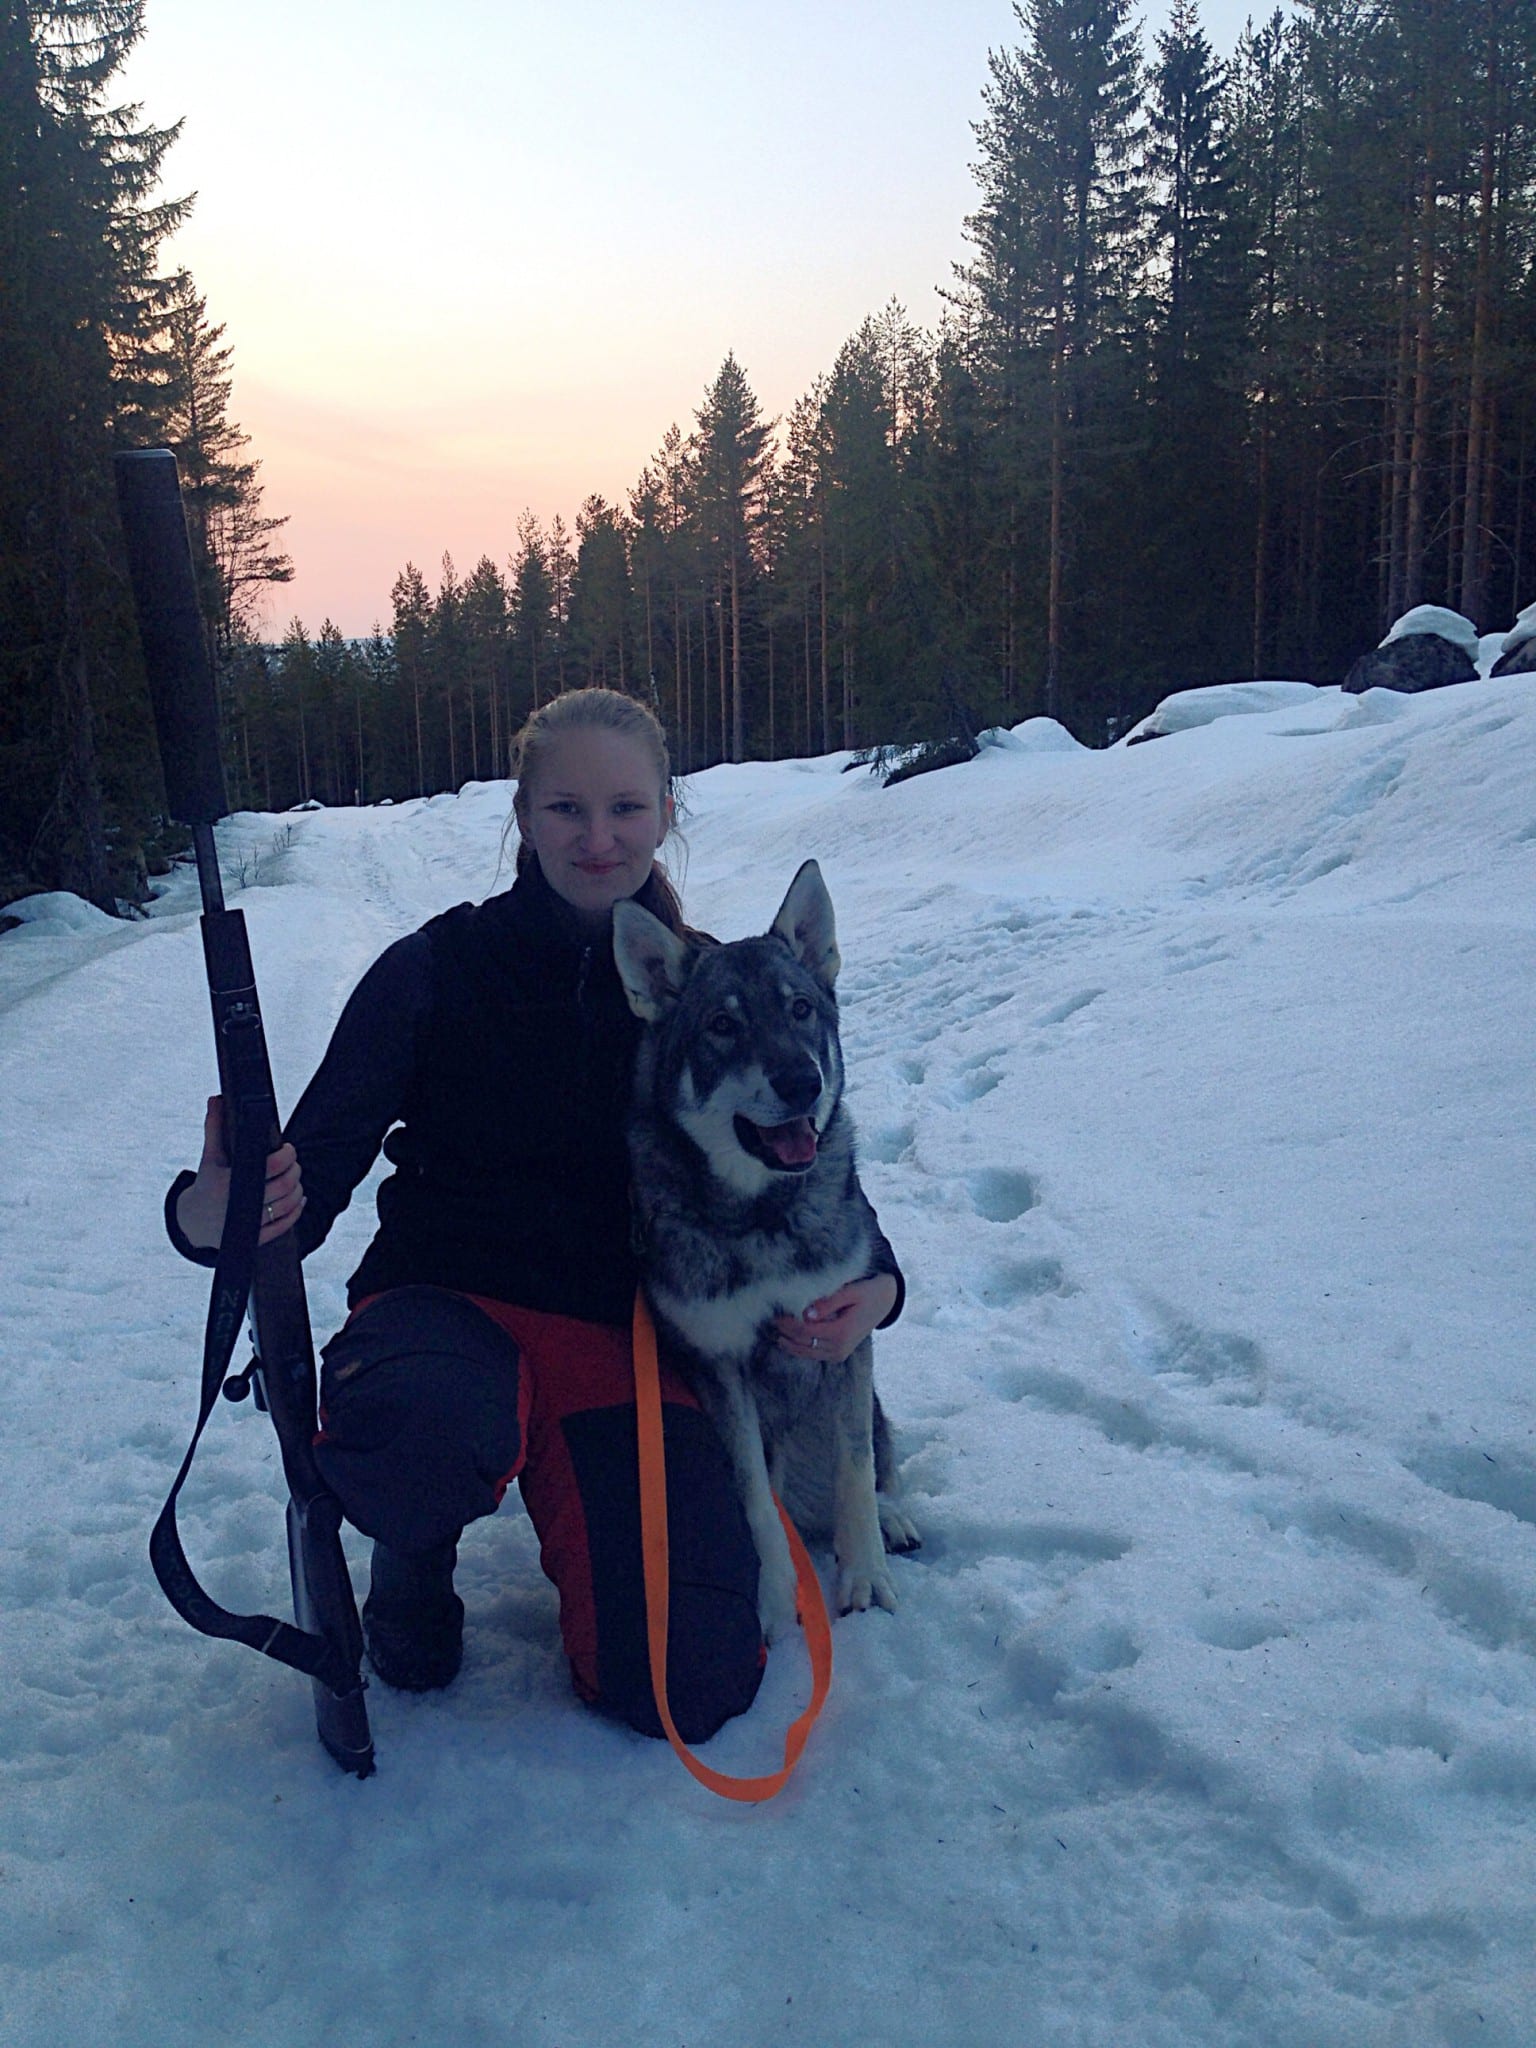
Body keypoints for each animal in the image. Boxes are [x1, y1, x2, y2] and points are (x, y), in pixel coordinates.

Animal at [614, 864, 921, 1646]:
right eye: (723, 1026)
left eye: (801, 1009)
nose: (802, 1082)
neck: (765, 1217)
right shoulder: (719, 1364)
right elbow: (754, 1498)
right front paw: (779, 1601)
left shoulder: (845, 1332)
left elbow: (855, 1466)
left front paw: (866, 1577)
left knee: (878, 1459)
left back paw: (893, 1518)